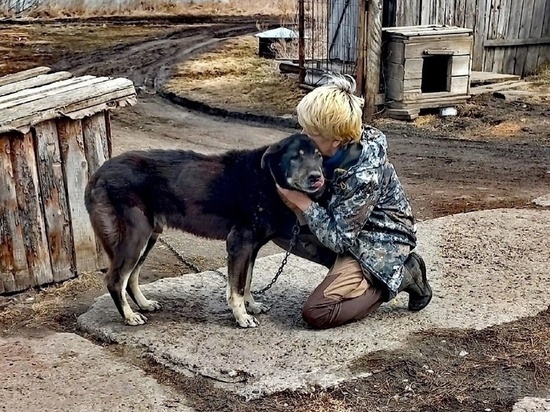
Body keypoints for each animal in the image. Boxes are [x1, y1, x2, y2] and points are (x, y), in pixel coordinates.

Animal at [85, 135, 328, 328]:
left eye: (318, 156)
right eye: (296, 157)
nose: (317, 177)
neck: (266, 177)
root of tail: (97, 174)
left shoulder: (252, 249)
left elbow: (247, 281)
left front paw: (251, 305)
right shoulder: (239, 244)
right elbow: (237, 287)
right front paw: (242, 317)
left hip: (148, 238)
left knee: (131, 277)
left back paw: (144, 304)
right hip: (136, 238)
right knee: (115, 280)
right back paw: (129, 316)